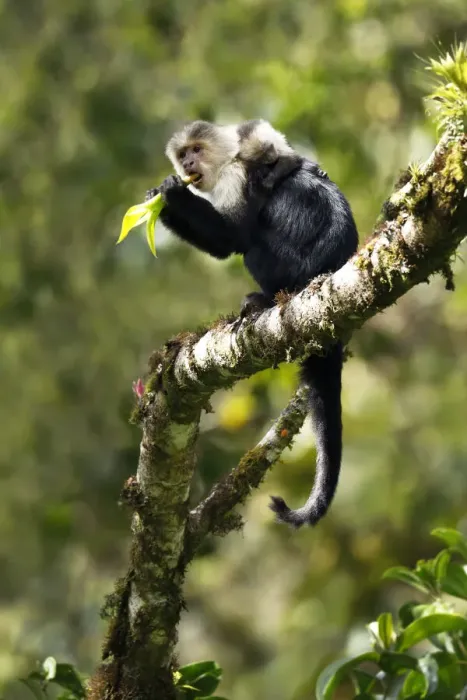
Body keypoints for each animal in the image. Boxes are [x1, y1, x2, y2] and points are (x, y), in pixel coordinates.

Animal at [145, 119, 358, 529]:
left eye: (196, 150)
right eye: (183, 154)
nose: (188, 164)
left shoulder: (235, 177)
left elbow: (234, 236)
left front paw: (170, 193)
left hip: (292, 269)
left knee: (255, 244)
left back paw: (265, 299)